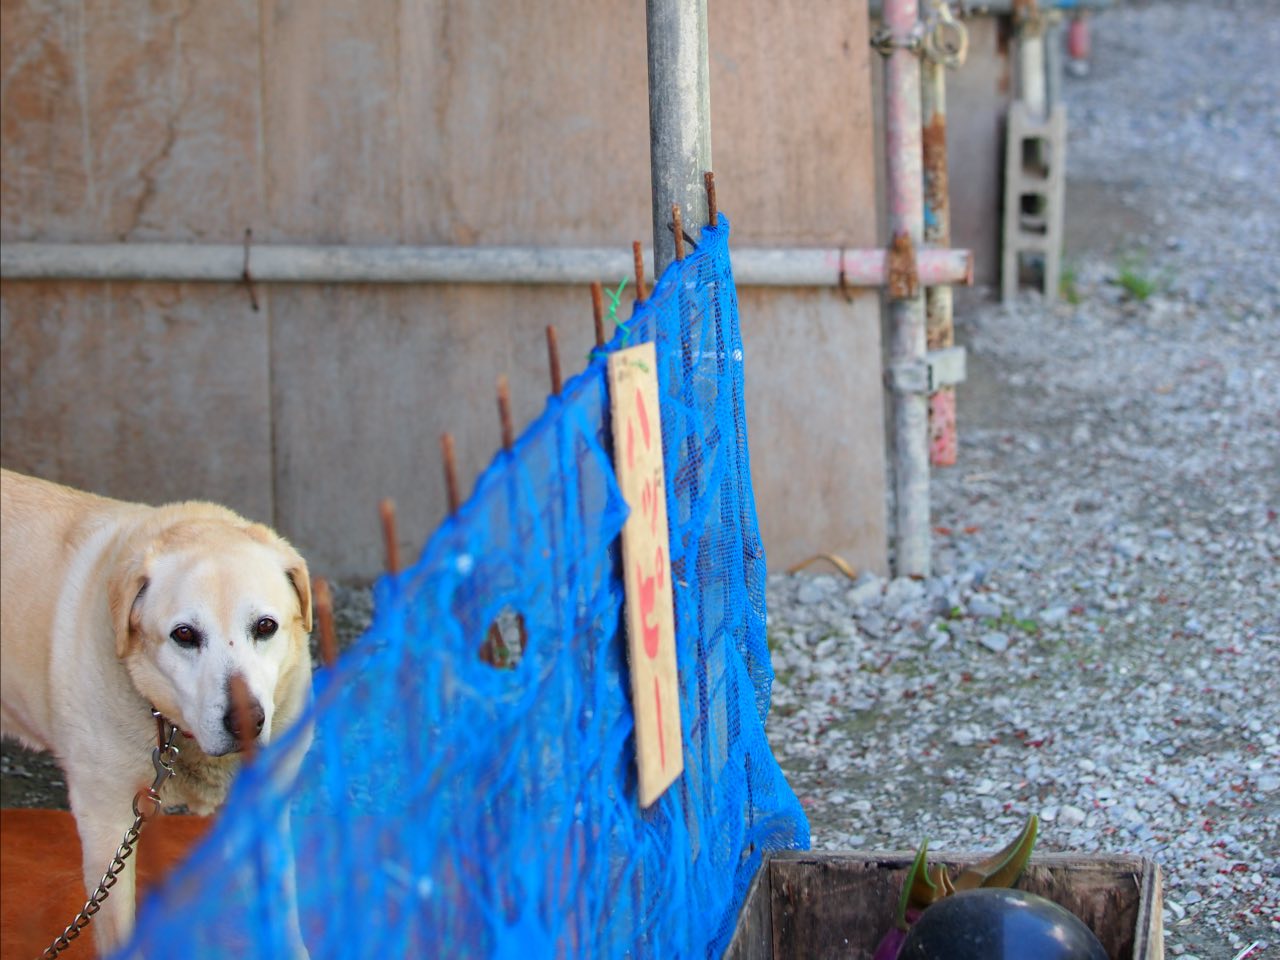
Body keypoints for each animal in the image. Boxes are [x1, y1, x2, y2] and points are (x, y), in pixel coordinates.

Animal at [0, 468, 314, 957]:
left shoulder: (263, 806)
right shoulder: (106, 821)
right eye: (184, 635)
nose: (247, 722)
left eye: (265, 627)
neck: (176, 734)